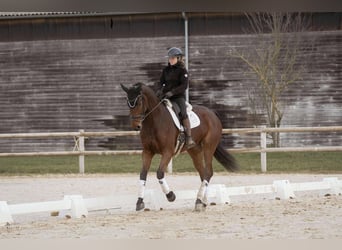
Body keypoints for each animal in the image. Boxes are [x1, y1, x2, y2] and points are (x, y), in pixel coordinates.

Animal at [121, 82, 239, 211]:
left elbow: (159, 173)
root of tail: (212, 114)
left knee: (208, 172)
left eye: (139, 102)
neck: (155, 121)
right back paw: (202, 201)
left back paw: (199, 201)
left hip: (209, 146)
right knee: (203, 173)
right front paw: (139, 202)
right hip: (195, 150)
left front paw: (171, 196)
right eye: (128, 103)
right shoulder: (147, 152)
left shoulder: (167, 152)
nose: (136, 126)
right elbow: (143, 174)